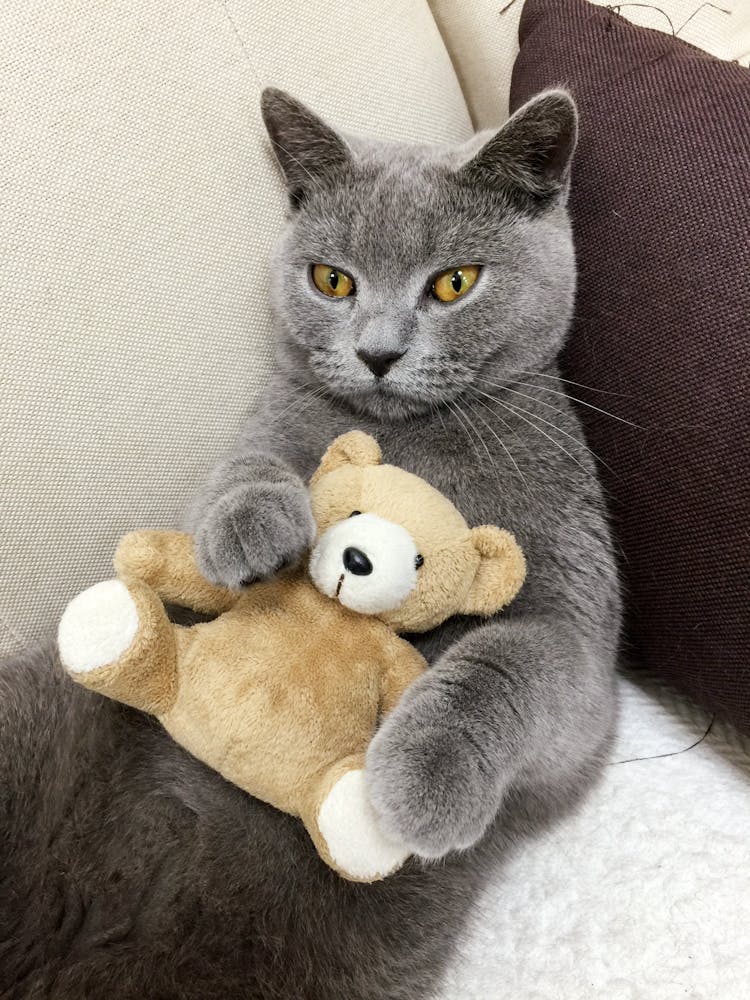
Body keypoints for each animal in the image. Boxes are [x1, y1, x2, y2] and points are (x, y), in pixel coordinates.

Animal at [0, 90, 624, 996]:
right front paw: (253, 521)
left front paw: (423, 776)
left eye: (454, 283)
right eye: (333, 280)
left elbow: (516, 655)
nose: (377, 352)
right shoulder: (259, 433)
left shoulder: (584, 653)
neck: (403, 440)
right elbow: (235, 473)